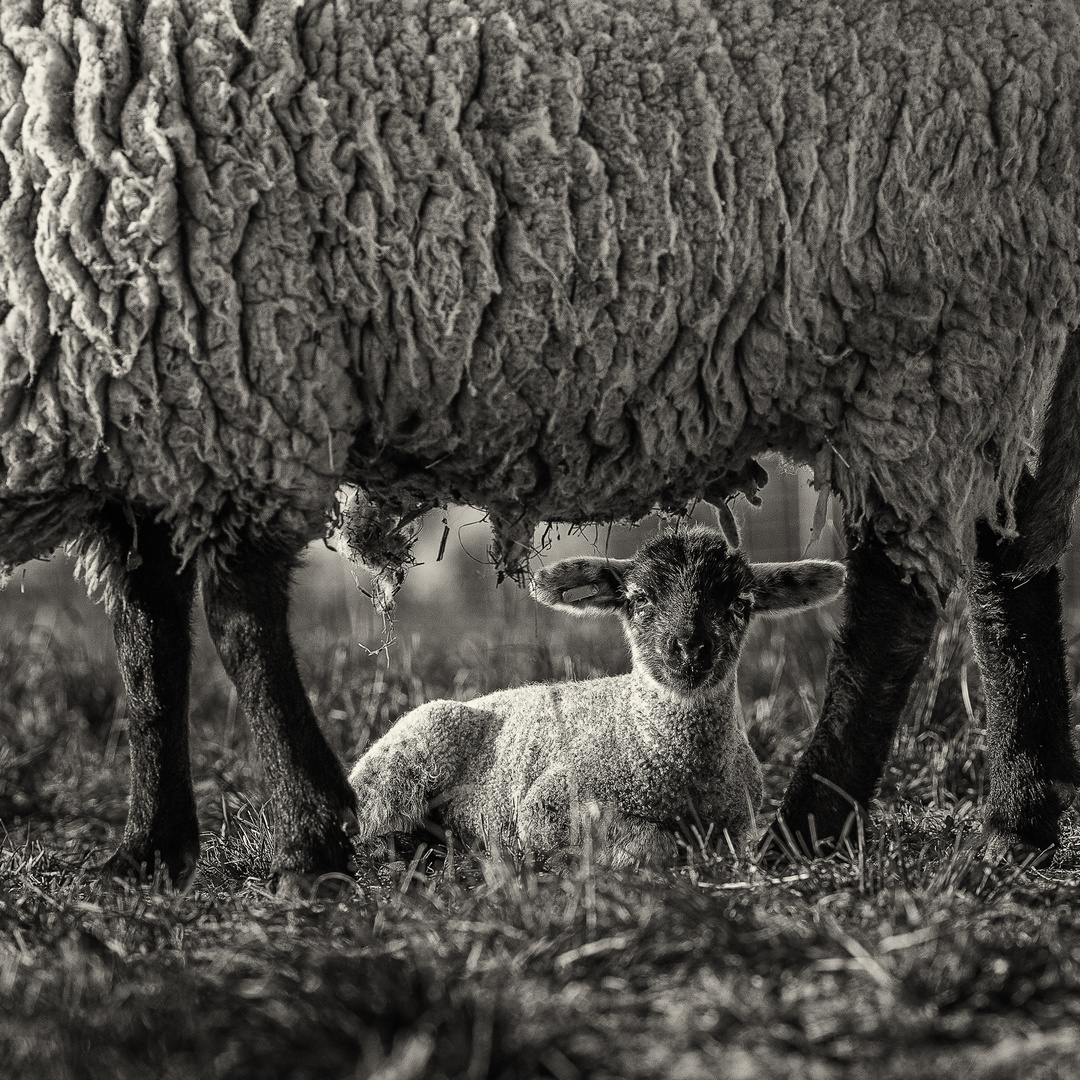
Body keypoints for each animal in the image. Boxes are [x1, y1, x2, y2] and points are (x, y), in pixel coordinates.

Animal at [349, 527, 846, 864]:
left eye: (741, 603)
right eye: (639, 599)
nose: (690, 648)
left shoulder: (740, 825)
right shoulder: (546, 807)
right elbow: (652, 842)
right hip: (404, 761)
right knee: (372, 826)